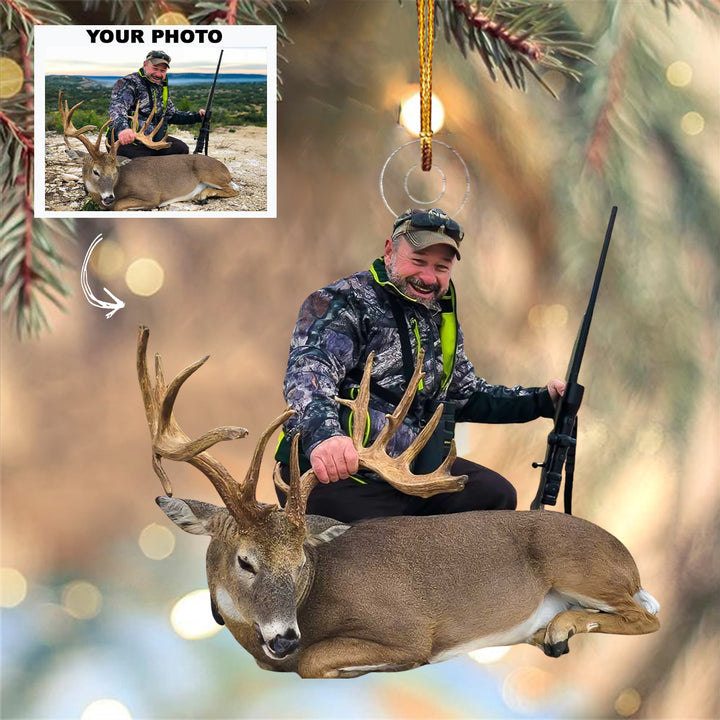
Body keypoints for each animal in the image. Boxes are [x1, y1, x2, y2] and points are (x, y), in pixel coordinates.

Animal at [59, 91, 238, 211]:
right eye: (95, 171)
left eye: (115, 171)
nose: (109, 198)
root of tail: (226, 169)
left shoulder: (152, 195)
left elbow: (119, 205)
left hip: (210, 173)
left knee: (234, 190)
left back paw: (201, 196)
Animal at [137, 326, 660, 678]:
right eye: (245, 561)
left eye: (301, 561)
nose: (284, 639)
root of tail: (629, 559)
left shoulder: (410, 632)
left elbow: (317, 661)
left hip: (581, 567)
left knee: (648, 616)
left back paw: (555, 630)